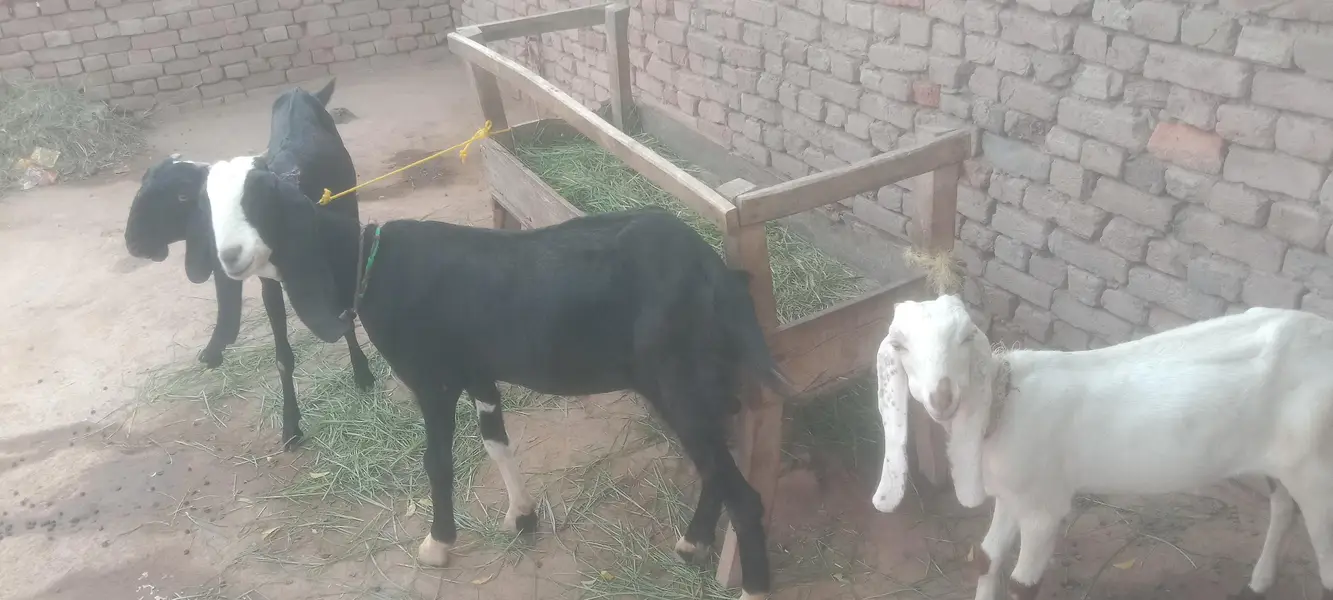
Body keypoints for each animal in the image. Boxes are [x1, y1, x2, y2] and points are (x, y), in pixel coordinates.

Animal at [123, 79, 374, 450]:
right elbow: (283, 358)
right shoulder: (269, 282)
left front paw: (363, 372)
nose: (134, 244)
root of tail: (301, 93)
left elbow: (346, 312)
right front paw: (290, 426)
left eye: (182, 197)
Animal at [201, 155, 793, 600]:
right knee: (718, 460)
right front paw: (521, 516)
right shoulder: (478, 372)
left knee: (743, 492)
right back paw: (693, 543)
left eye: (260, 201)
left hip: (676, 380)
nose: (229, 256)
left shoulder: (433, 378)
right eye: (207, 205)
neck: (368, 262)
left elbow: (438, 462)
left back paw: (751, 585)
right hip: (699, 380)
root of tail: (713, 269)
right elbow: (495, 441)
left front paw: (439, 543)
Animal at [873, 295, 1333, 600]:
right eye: (899, 345)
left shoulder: (1044, 509)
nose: (942, 397)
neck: (1008, 406)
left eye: (967, 337)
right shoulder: (1012, 495)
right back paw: (1261, 580)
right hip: (1285, 461)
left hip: (1317, 470)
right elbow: (987, 557)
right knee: (1283, 508)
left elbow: (1023, 584)